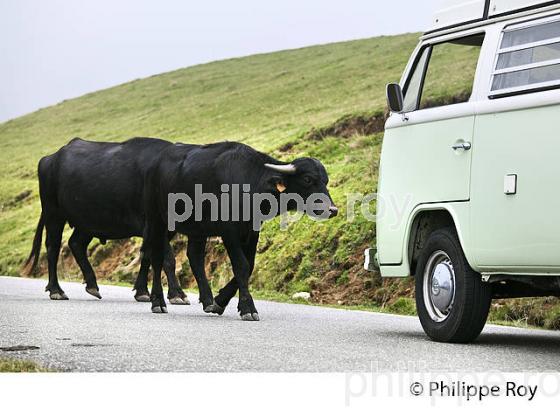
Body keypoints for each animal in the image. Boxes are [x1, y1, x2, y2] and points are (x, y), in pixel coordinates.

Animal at [23, 138, 189, 304]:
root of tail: (50, 158)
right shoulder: (154, 227)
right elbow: (168, 259)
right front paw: (177, 294)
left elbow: (146, 256)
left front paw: (142, 292)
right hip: (53, 214)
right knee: (53, 247)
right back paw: (56, 290)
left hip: (87, 221)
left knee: (75, 243)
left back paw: (92, 286)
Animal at [144, 141, 336, 320]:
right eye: (308, 179)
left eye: (325, 181)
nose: (333, 210)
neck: (250, 182)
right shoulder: (230, 232)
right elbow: (241, 265)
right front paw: (248, 308)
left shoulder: (252, 231)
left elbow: (250, 265)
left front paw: (219, 301)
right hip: (158, 222)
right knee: (157, 257)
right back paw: (158, 302)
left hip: (198, 230)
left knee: (195, 256)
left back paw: (208, 300)